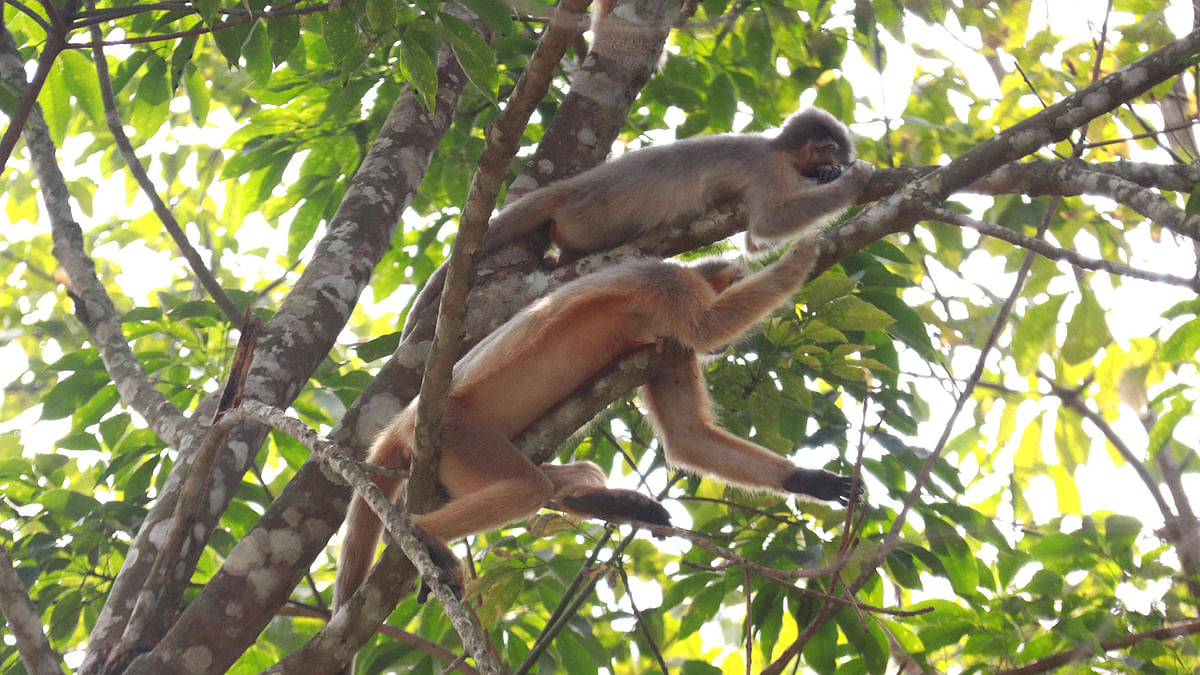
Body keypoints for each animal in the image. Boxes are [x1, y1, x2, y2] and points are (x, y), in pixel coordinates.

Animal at [336, 229, 864, 614]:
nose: (733, 348)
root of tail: (404, 422)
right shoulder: (670, 285)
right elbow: (708, 325)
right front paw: (799, 258)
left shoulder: (672, 350)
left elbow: (688, 437)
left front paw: (810, 479)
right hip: (458, 431)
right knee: (526, 487)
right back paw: (420, 532)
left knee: (564, 479)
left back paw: (614, 501)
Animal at [405, 107, 873, 336]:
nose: (839, 164)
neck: (778, 150)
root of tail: (577, 185)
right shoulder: (770, 168)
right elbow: (766, 228)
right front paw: (852, 180)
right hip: (591, 217)